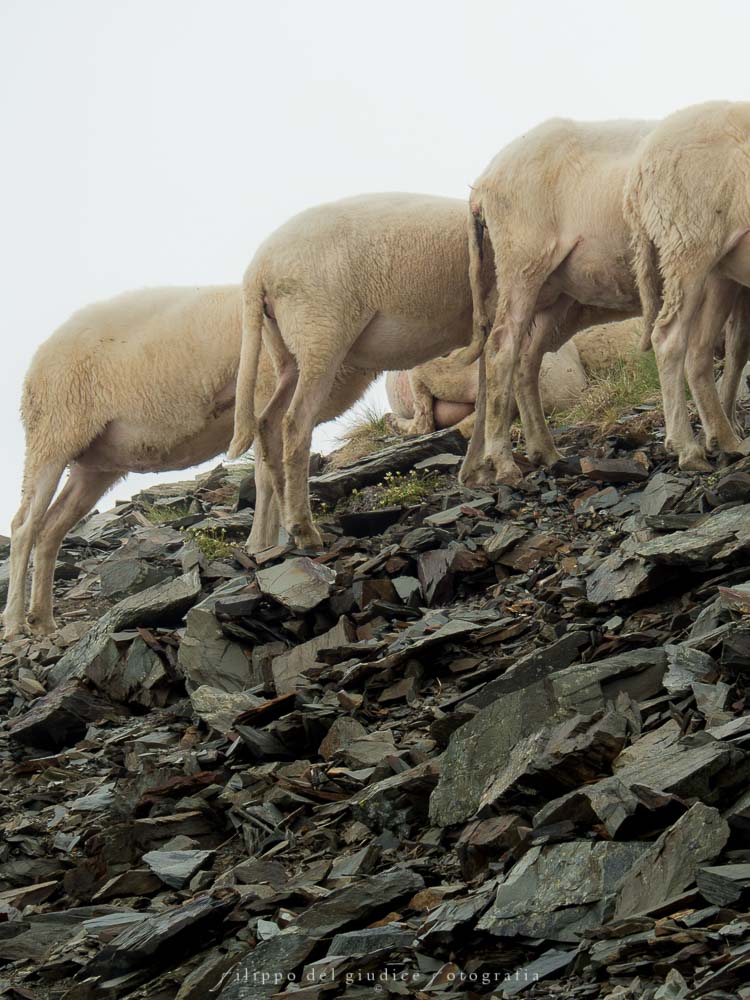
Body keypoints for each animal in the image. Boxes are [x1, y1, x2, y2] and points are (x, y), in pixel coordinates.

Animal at [2, 286, 375, 639]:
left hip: (95, 464)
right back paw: (16, 622)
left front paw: (268, 544)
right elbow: (267, 477)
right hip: (53, 433)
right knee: (24, 526)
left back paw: (42, 619)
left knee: (51, 529)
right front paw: (263, 544)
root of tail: (40, 354)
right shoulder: (262, 397)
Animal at [624, 101, 750, 468]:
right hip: (689, 242)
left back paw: (725, 439)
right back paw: (688, 448)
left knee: (699, 349)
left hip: (719, 266)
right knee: (669, 339)